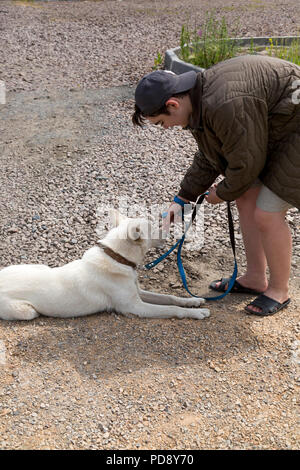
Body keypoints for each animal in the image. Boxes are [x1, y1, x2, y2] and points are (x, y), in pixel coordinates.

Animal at [0, 211, 210, 322]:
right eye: (152, 228)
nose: (169, 233)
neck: (117, 257)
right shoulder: (135, 307)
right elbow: (171, 309)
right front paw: (196, 313)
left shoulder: (138, 293)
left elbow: (170, 297)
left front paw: (193, 301)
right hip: (27, 312)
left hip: (39, 267)